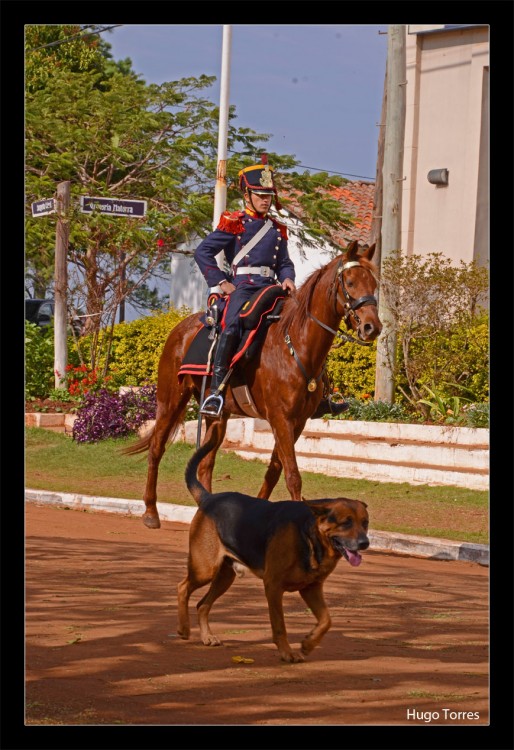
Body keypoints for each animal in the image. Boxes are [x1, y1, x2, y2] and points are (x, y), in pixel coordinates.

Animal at [124, 239, 380, 528]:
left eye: (374, 283)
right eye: (350, 282)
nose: (372, 327)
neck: (295, 345)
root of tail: (180, 329)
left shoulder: (298, 421)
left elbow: (274, 471)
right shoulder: (280, 419)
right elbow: (292, 475)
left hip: (218, 416)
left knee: (206, 462)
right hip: (171, 400)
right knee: (157, 447)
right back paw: (150, 512)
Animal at [176, 434, 368, 664]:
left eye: (365, 523)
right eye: (346, 523)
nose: (365, 543)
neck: (309, 536)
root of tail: (208, 498)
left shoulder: (311, 588)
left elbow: (326, 620)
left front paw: (308, 643)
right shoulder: (273, 587)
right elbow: (279, 626)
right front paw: (286, 652)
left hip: (225, 576)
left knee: (202, 604)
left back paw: (206, 636)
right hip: (205, 569)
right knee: (182, 587)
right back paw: (183, 629)